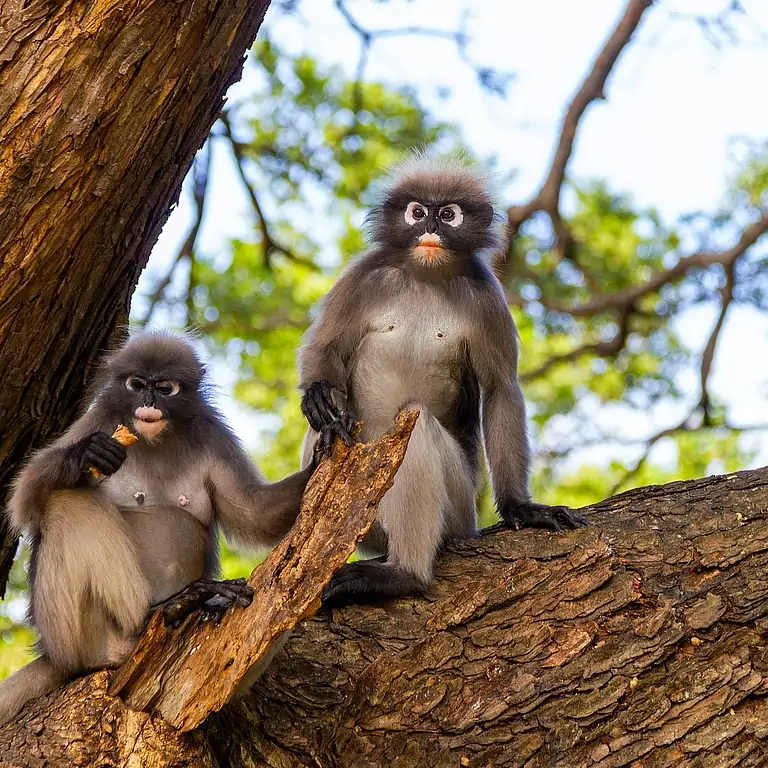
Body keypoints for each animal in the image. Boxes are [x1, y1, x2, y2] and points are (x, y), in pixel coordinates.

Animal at [300, 152, 588, 608]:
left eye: (448, 214)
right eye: (417, 213)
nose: (431, 228)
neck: (425, 276)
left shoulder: (486, 297)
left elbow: (501, 389)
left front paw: (521, 508)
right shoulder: (361, 277)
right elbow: (322, 352)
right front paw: (317, 396)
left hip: (455, 509)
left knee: (416, 426)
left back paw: (403, 575)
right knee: (327, 426)